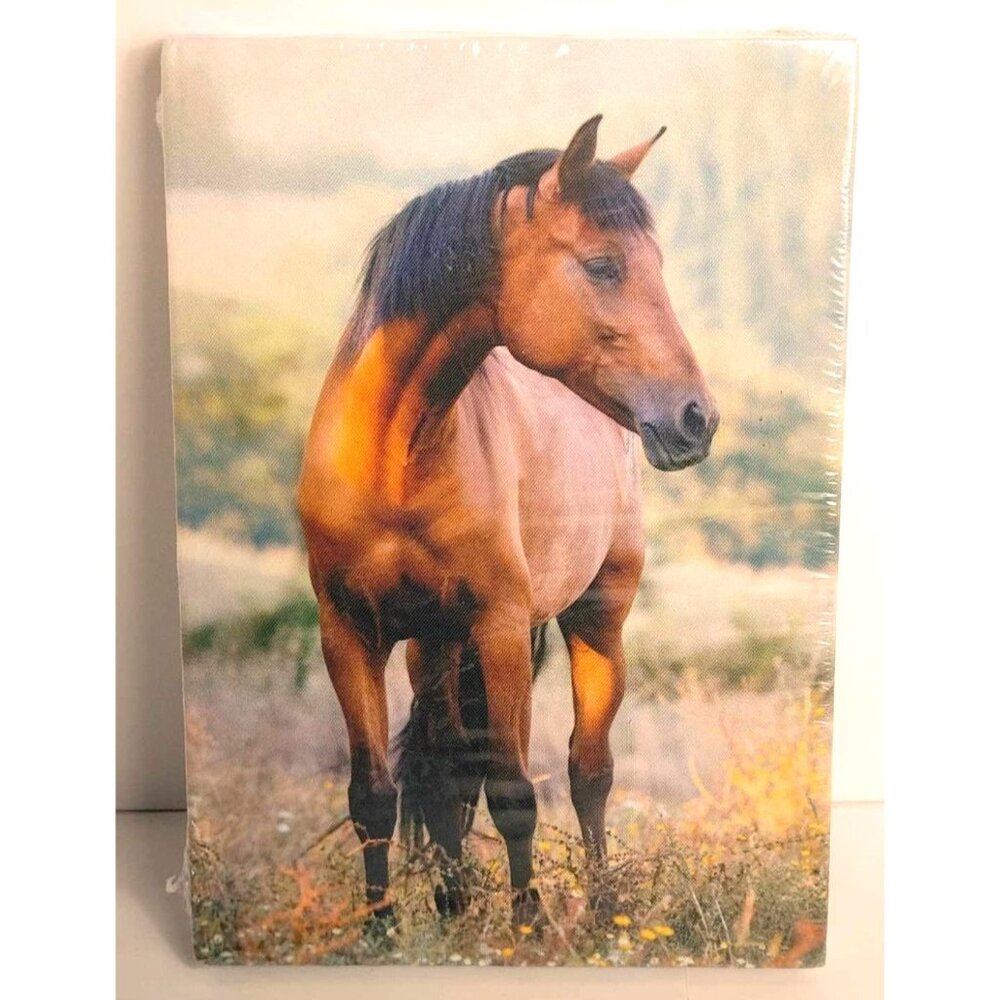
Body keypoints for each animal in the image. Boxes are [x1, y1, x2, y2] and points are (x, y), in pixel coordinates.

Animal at [298, 115, 718, 932]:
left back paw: (601, 908)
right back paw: (454, 903)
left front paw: (527, 927)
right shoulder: (348, 632)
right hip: (432, 646)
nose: (697, 418)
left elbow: (517, 793)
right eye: (602, 265)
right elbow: (375, 796)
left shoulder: (498, 625)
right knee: (446, 771)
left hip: (594, 621)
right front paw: (381, 927)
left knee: (589, 771)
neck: (396, 455)